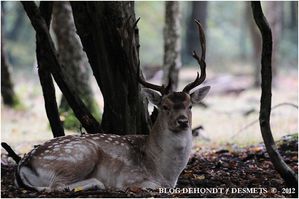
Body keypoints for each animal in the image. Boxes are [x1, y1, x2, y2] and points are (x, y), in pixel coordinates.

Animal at [14, 19, 211, 191]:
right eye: (165, 106)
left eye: (190, 106)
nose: (183, 121)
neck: (164, 172)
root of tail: (24, 163)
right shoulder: (130, 177)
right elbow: (150, 186)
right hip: (81, 154)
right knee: (56, 186)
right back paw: (97, 183)